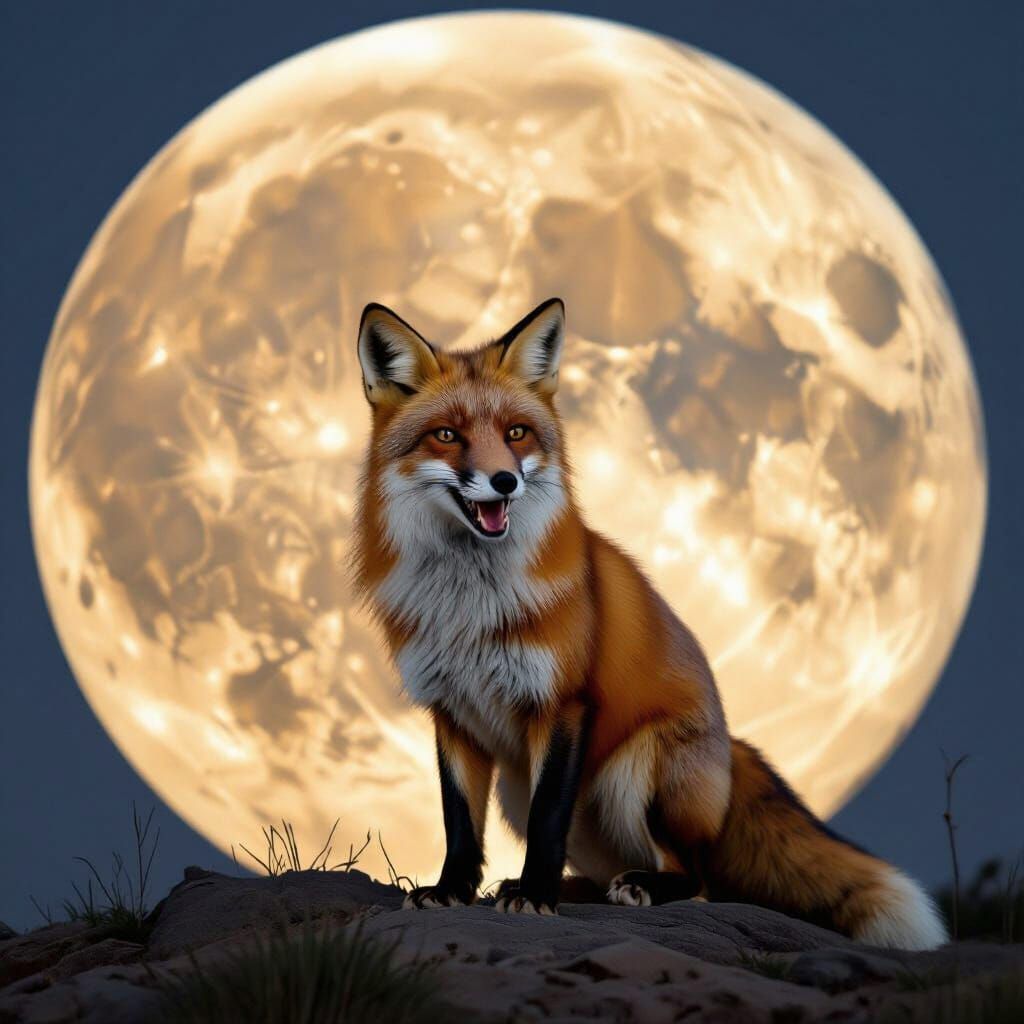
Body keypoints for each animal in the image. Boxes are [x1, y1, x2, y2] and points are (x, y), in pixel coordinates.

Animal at [351, 296, 948, 950]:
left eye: (515, 433)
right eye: (446, 435)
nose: (505, 479)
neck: (468, 606)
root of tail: (730, 746)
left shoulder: (564, 702)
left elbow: (548, 817)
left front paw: (534, 897)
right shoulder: (451, 711)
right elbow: (458, 822)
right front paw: (452, 891)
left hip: (636, 770)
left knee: (698, 878)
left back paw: (626, 887)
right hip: (521, 789)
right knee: (612, 869)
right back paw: (565, 888)